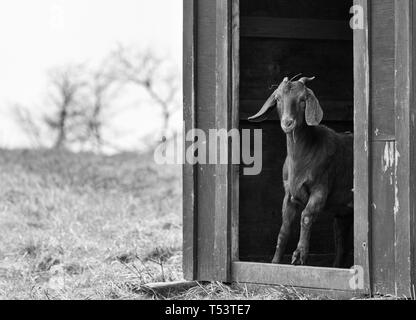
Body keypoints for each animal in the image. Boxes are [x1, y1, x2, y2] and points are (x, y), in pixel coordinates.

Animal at [249, 76, 352, 266]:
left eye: (303, 100)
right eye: (278, 98)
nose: (288, 123)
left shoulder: (320, 189)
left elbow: (306, 216)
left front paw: (299, 254)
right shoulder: (289, 193)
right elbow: (284, 228)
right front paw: (275, 261)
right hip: (343, 212)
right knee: (341, 243)